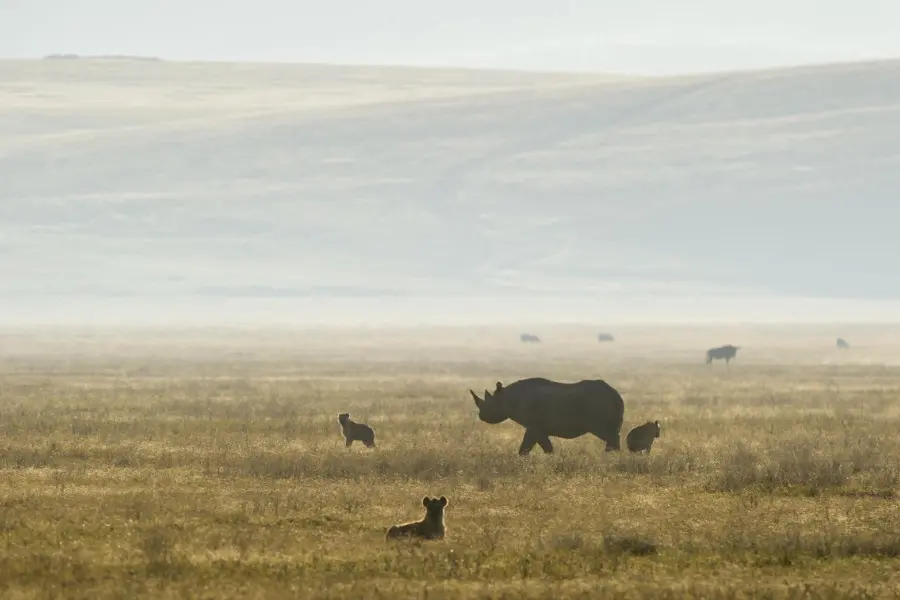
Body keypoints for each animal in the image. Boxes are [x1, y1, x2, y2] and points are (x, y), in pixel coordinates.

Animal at [469, 377, 625, 455]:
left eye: (491, 405)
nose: (482, 416)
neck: (508, 396)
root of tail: (615, 394)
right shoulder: (535, 427)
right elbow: (534, 446)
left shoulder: (535, 426)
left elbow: (535, 446)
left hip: (597, 405)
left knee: (608, 434)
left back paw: (610, 457)